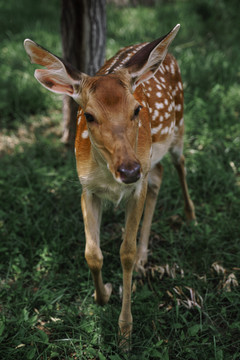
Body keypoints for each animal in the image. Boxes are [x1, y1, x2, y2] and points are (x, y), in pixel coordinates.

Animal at [23, 24, 195, 348]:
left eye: (137, 109)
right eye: (89, 116)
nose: (129, 170)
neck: (109, 178)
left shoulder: (135, 188)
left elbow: (124, 251)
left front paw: (125, 332)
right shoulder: (86, 188)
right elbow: (92, 253)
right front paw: (102, 296)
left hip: (177, 127)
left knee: (179, 164)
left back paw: (190, 216)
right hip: (152, 158)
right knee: (158, 174)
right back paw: (144, 259)